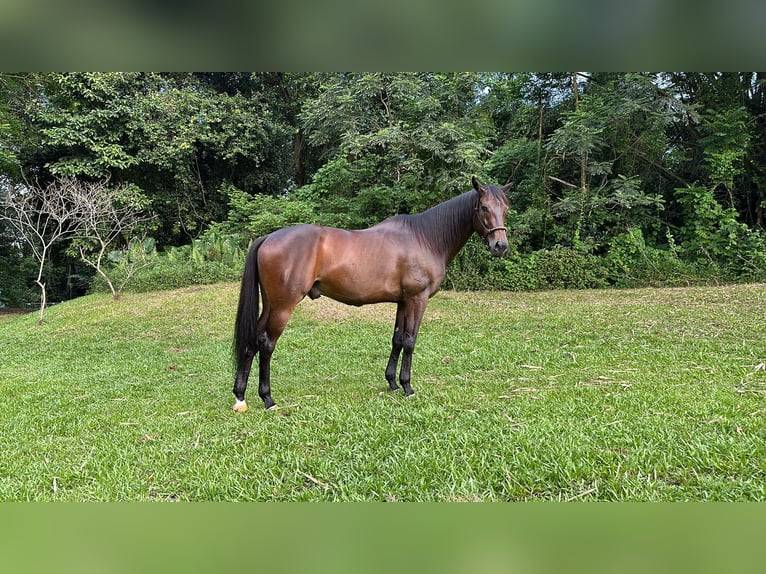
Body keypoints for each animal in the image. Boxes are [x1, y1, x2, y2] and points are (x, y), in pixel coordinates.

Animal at [231, 178, 512, 412]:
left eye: (506, 208)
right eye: (484, 208)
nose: (500, 246)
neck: (426, 238)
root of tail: (268, 237)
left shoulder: (403, 302)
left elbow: (397, 339)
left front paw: (393, 383)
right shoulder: (417, 299)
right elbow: (410, 341)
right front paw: (407, 386)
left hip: (270, 305)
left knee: (252, 342)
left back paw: (240, 396)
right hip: (283, 306)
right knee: (267, 344)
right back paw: (267, 398)